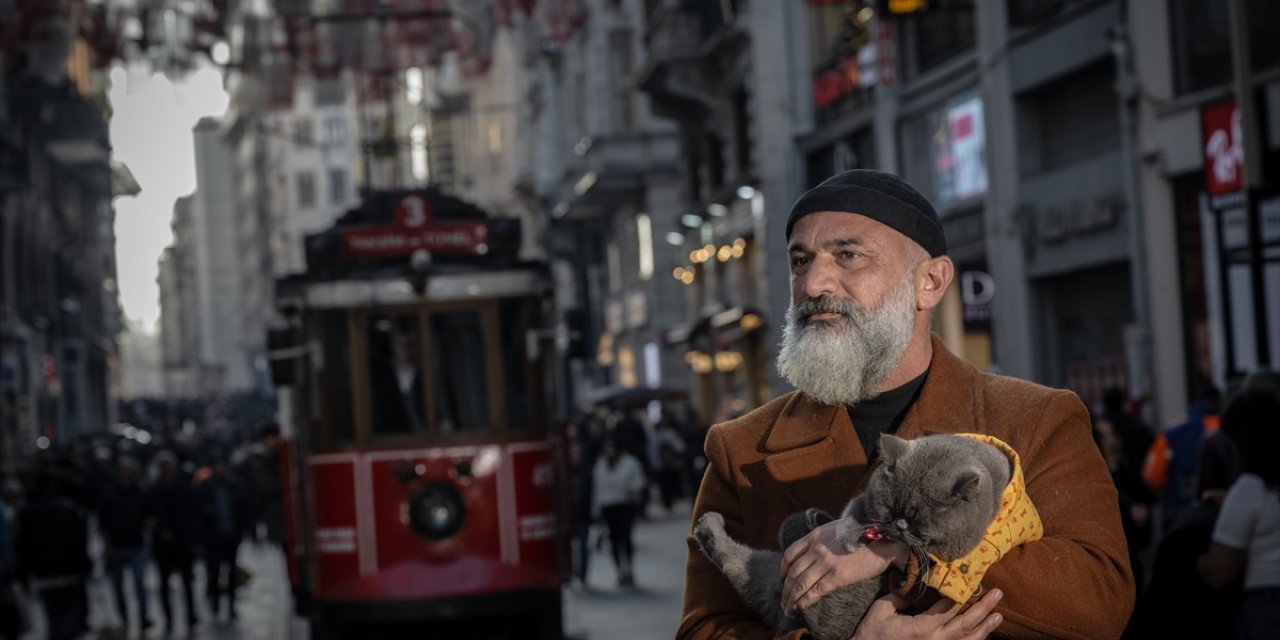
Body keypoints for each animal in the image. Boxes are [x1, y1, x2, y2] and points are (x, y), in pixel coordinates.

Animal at [696, 432, 1013, 637]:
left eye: (916, 519)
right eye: (890, 507)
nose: (898, 525)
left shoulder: (956, 549)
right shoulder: (864, 499)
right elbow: (853, 511)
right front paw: (848, 536)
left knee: (742, 564)